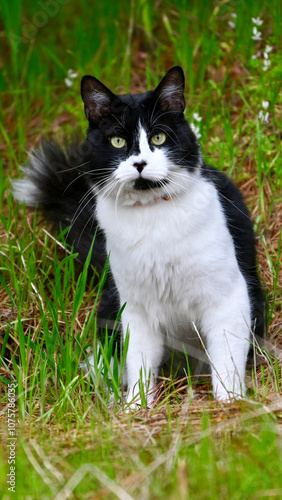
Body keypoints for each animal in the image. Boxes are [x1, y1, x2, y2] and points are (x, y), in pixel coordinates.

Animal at [12, 66, 264, 404]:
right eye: (118, 141)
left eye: (158, 137)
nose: (140, 163)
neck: (152, 215)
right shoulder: (135, 308)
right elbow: (140, 362)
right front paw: (136, 407)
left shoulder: (228, 297)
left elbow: (226, 358)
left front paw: (230, 403)